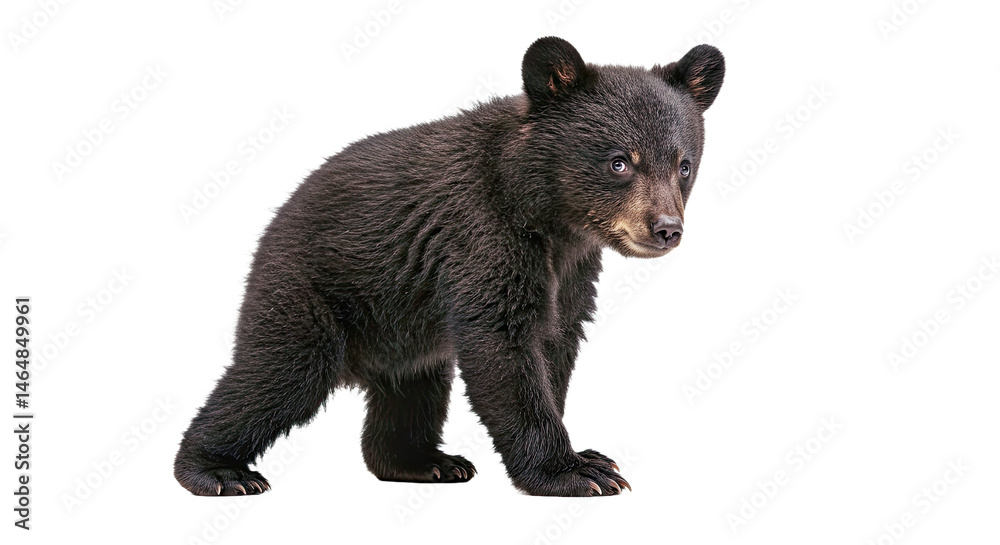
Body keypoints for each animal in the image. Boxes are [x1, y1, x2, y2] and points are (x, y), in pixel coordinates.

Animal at [174, 36, 724, 497]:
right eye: (619, 162)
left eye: (683, 164)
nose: (666, 228)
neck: (545, 215)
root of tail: (273, 224)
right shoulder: (481, 236)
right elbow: (502, 346)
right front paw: (575, 471)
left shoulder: (571, 270)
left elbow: (555, 342)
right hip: (308, 290)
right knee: (278, 373)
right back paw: (215, 470)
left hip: (405, 332)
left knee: (413, 391)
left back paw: (424, 462)